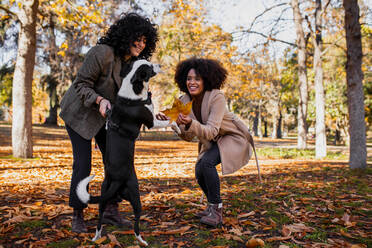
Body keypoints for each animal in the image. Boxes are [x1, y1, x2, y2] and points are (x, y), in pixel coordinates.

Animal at [76, 59, 180, 246]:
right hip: (136, 196)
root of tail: (117, 179)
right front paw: (177, 126)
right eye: (149, 67)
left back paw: (96, 238)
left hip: (103, 198)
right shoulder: (151, 122)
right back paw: (142, 241)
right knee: (136, 224)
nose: (159, 65)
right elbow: (170, 121)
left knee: (99, 221)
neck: (133, 91)